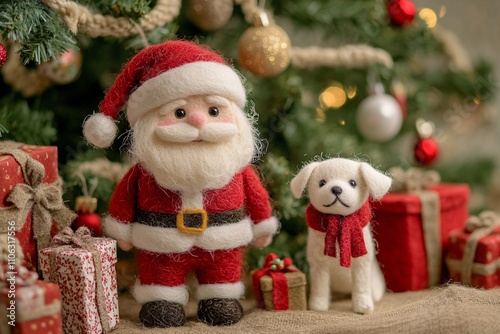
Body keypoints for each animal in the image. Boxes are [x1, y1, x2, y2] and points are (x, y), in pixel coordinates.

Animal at [292, 158, 392, 314]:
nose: (336, 189)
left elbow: (361, 287)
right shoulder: (319, 266)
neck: (339, 220)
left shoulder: (361, 264)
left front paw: (362, 306)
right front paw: (318, 305)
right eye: (322, 183)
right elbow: (320, 287)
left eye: (353, 183)